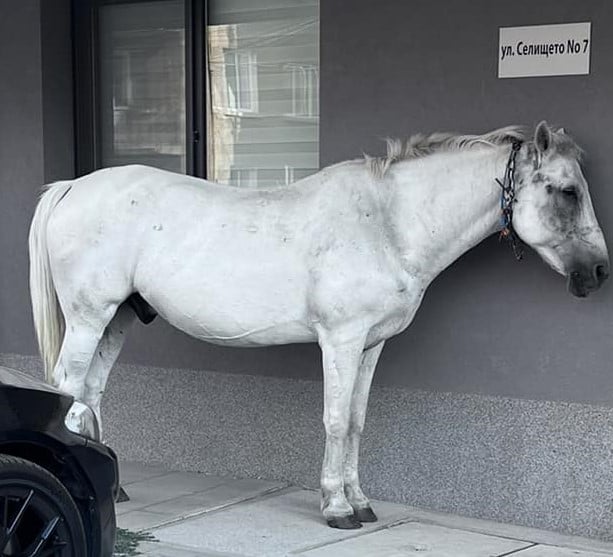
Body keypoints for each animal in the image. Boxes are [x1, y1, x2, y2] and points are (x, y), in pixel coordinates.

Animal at [29, 119, 608, 528]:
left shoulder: (371, 346)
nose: (600, 271)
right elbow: (333, 420)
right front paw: (336, 508)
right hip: (89, 316)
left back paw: (114, 488)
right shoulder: (341, 341)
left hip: (117, 318)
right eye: (567, 191)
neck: (388, 224)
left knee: (91, 393)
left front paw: (361, 502)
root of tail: (73, 186)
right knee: (68, 387)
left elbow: (355, 422)